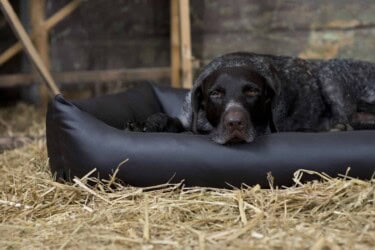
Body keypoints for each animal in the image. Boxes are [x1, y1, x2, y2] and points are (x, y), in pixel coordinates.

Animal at [126, 51, 375, 144]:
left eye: (253, 92)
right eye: (215, 93)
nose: (235, 122)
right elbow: (169, 120)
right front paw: (148, 124)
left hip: (328, 76)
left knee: (347, 120)